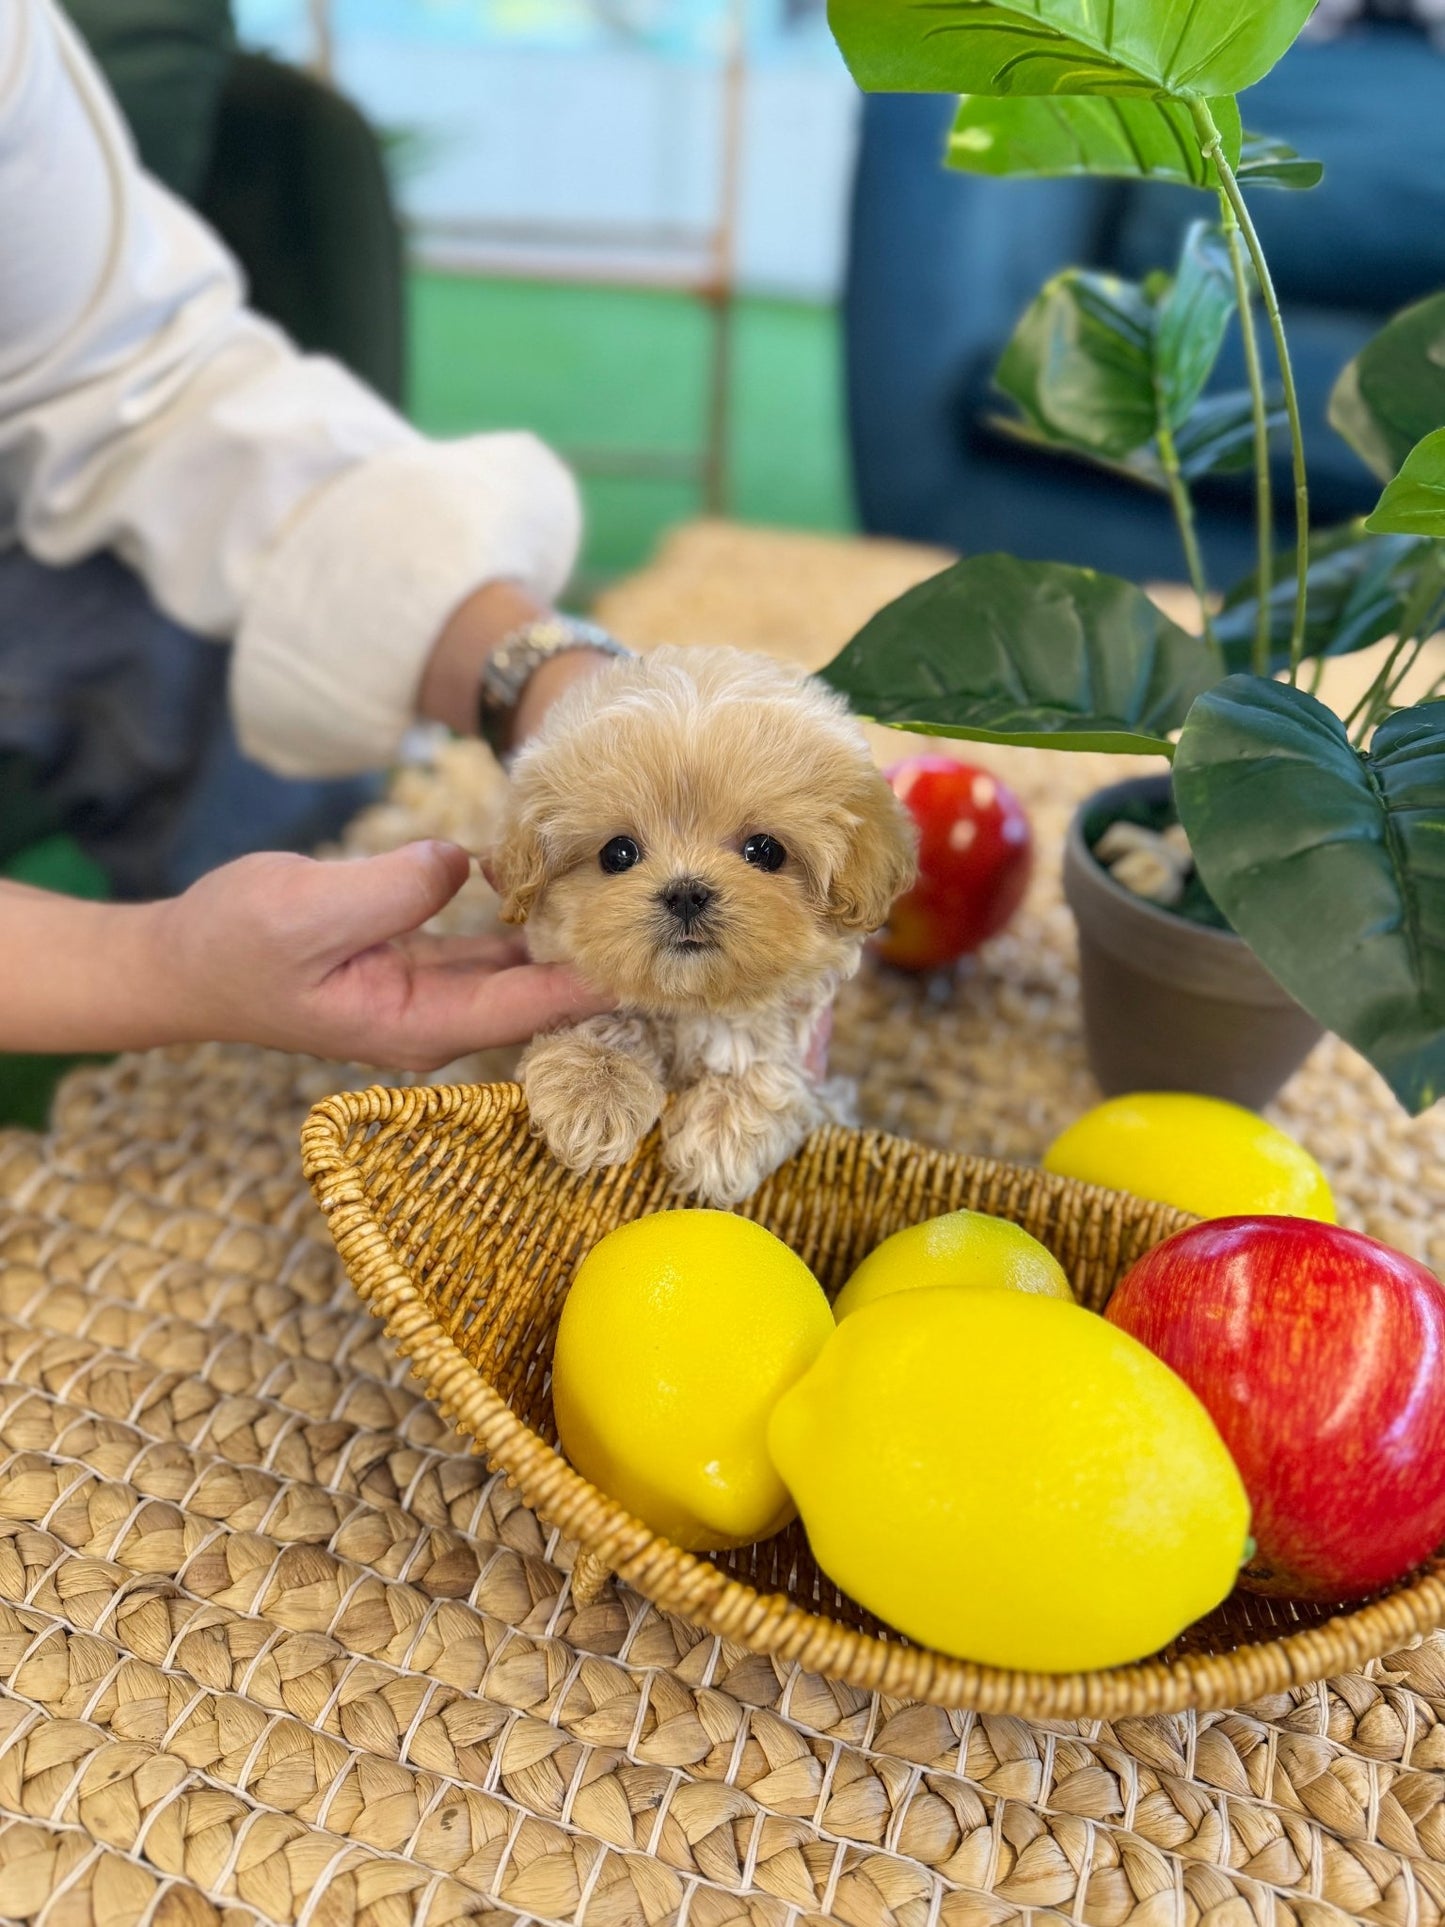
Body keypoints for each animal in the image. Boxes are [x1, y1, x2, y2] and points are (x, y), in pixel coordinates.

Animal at [497, 655, 917, 1210]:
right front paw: (591, 1090)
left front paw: (724, 1133)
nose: (685, 892)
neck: (694, 1004)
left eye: (765, 850)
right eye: (618, 853)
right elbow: (615, 1018)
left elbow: (763, 1060)